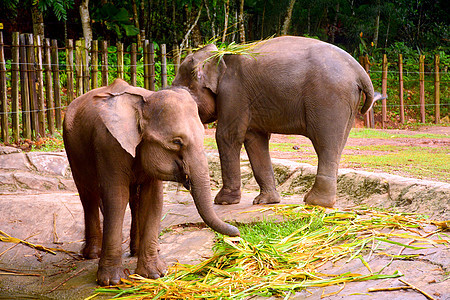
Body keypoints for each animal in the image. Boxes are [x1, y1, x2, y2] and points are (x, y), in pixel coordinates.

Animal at [63, 78, 241, 284]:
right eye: (177, 142)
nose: (237, 235)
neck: (143, 102)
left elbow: (153, 199)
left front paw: (155, 275)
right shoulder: (109, 145)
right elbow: (116, 198)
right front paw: (111, 281)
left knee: (134, 200)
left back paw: (138, 250)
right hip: (72, 148)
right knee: (88, 195)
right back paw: (92, 254)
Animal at [172, 35, 380, 209]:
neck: (220, 55)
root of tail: (359, 71)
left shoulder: (233, 93)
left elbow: (228, 136)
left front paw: (223, 202)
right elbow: (255, 141)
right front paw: (266, 201)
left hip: (328, 98)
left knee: (325, 144)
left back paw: (316, 202)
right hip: (347, 103)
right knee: (336, 145)